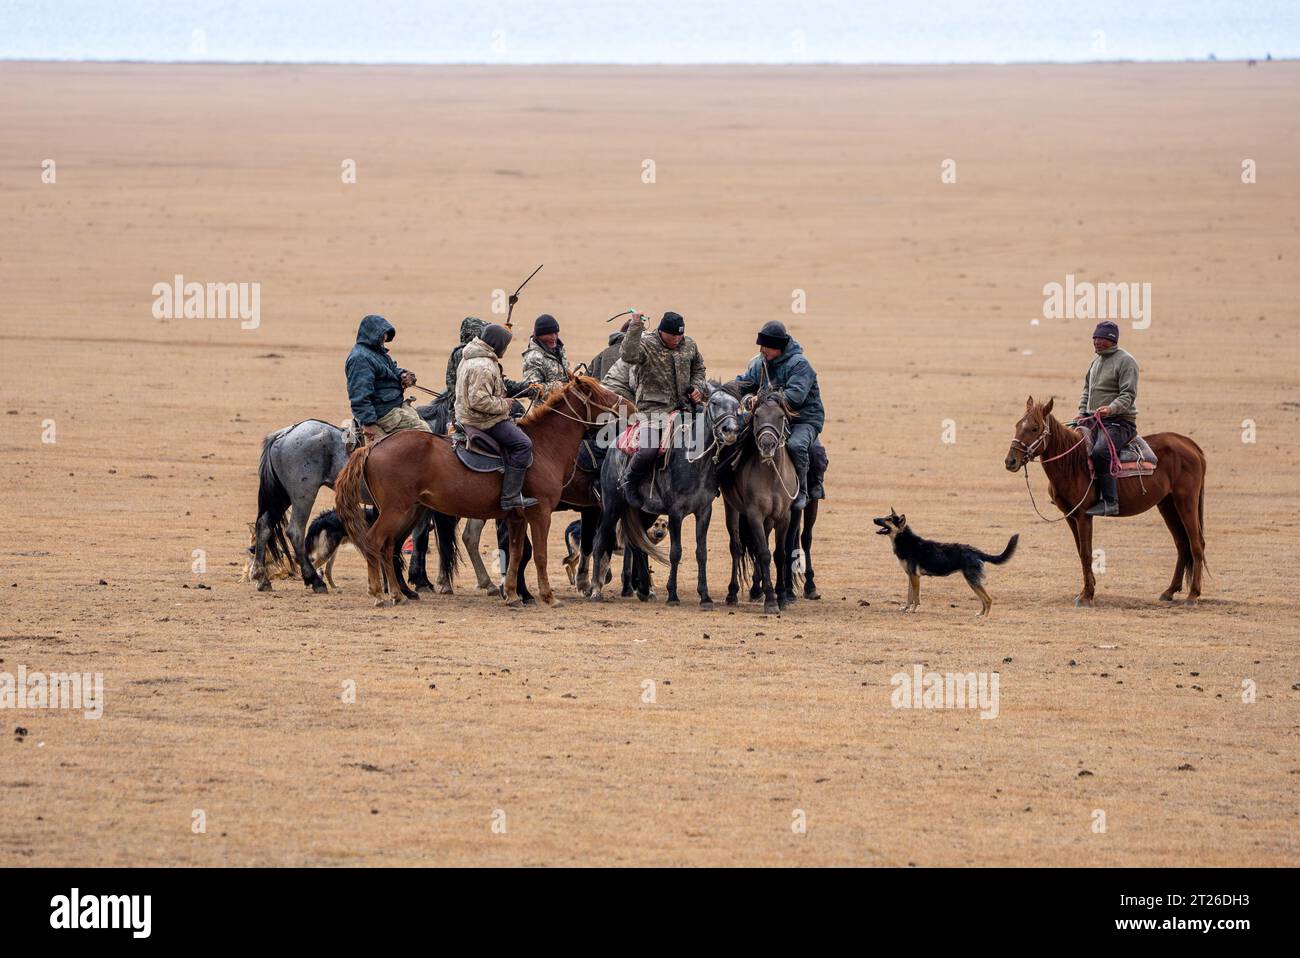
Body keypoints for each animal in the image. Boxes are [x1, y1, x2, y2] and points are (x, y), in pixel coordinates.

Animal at [335, 374, 629, 605]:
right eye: (604, 393)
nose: (631, 406)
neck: (544, 446)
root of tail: (374, 446)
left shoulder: (516, 516)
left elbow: (517, 553)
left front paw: (512, 594)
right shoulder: (541, 513)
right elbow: (540, 555)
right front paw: (548, 596)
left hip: (406, 511)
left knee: (388, 546)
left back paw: (399, 592)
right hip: (397, 509)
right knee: (375, 541)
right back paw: (381, 594)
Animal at [590, 382, 743, 605]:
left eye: (737, 406)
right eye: (714, 403)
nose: (730, 431)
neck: (694, 461)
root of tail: (612, 448)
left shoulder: (704, 511)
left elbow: (701, 552)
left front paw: (705, 596)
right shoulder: (675, 512)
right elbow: (675, 552)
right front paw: (672, 594)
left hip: (645, 512)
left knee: (637, 545)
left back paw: (645, 590)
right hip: (612, 505)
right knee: (600, 539)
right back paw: (595, 589)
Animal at [728, 387, 795, 613]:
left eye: (781, 416)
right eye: (756, 415)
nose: (767, 445)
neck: (772, 476)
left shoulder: (783, 516)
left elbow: (780, 553)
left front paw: (781, 596)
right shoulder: (754, 514)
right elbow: (764, 553)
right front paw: (771, 601)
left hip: (770, 519)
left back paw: (757, 589)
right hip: (732, 509)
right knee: (737, 547)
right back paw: (733, 593)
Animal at [873, 504, 1013, 616]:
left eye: (889, 519)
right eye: (886, 516)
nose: (874, 519)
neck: (905, 540)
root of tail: (976, 551)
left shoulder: (915, 577)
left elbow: (916, 597)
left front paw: (913, 610)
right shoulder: (911, 576)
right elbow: (909, 596)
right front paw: (906, 608)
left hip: (972, 580)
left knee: (988, 599)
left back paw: (985, 617)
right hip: (973, 581)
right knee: (984, 600)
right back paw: (980, 614)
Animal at [1003, 395, 1206, 605]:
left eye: (1034, 428)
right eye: (1017, 425)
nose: (1010, 461)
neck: (1073, 463)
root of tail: (1190, 445)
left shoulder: (1084, 515)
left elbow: (1086, 553)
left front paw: (1087, 596)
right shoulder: (1070, 516)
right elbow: (1081, 551)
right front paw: (1087, 589)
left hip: (1186, 502)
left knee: (1196, 543)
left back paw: (1193, 595)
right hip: (1167, 504)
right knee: (1182, 543)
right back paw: (1169, 591)